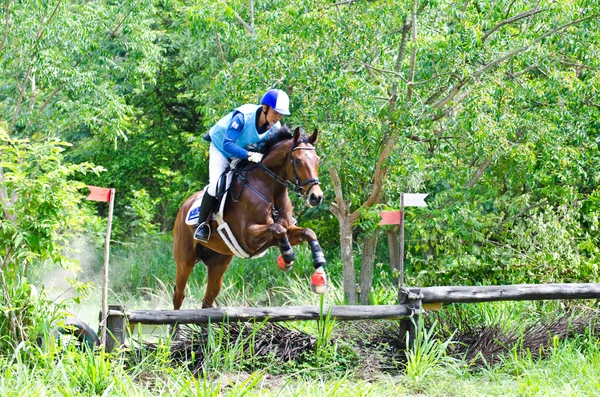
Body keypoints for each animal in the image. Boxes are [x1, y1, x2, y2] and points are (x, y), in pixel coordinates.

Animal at [171, 127, 330, 310]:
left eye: (317, 160)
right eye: (297, 161)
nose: (316, 197)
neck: (270, 189)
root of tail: (184, 205)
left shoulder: (280, 234)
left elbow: (308, 232)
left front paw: (318, 268)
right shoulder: (248, 238)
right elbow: (278, 229)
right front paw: (287, 258)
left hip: (218, 262)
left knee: (207, 301)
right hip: (185, 260)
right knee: (179, 295)